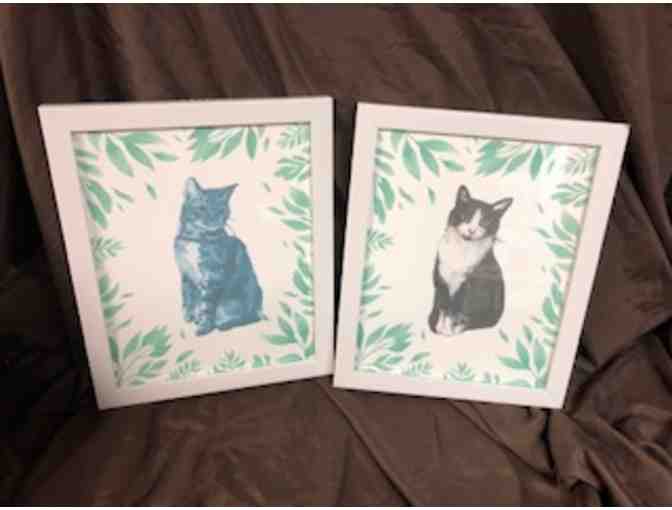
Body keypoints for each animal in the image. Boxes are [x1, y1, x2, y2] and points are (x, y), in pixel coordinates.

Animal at [175, 177, 263, 336]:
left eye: (220, 209)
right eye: (202, 208)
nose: (214, 218)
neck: (195, 238)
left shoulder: (213, 276)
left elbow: (207, 305)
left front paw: (203, 327)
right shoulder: (185, 274)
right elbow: (188, 297)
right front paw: (189, 316)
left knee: (243, 318)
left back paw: (223, 323)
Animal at [428, 185, 513, 337]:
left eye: (484, 222)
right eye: (466, 216)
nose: (471, 230)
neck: (463, 248)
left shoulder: (469, 284)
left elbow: (456, 309)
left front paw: (448, 330)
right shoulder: (441, 278)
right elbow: (444, 306)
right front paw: (440, 327)